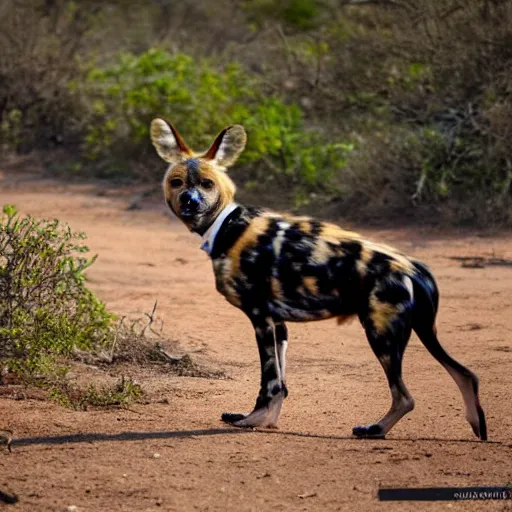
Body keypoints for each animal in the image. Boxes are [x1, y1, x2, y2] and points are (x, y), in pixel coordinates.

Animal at [149, 120, 488, 440]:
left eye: (206, 184)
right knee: (465, 375)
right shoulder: (278, 324)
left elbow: (269, 382)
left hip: (381, 336)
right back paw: (477, 427)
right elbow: (280, 385)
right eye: (177, 182)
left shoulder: (260, 319)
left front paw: (251, 421)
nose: (189, 201)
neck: (226, 225)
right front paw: (265, 422)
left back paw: (374, 430)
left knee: (405, 396)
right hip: (422, 332)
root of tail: (414, 267)